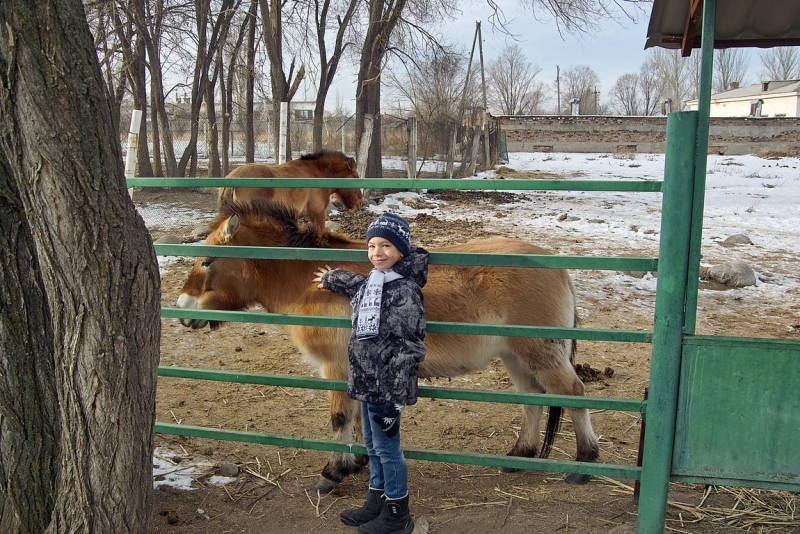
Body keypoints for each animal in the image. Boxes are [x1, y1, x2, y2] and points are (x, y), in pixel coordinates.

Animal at [177, 200, 600, 494]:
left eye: (207, 261)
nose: (182, 311)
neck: (309, 281)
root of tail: (558, 268)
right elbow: (359, 419)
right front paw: (358, 463)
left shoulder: (336, 369)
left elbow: (340, 419)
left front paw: (333, 472)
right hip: (516, 357)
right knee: (531, 399)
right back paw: (519, 455)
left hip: (540, 355)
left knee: (573, 392)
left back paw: (585, 464)